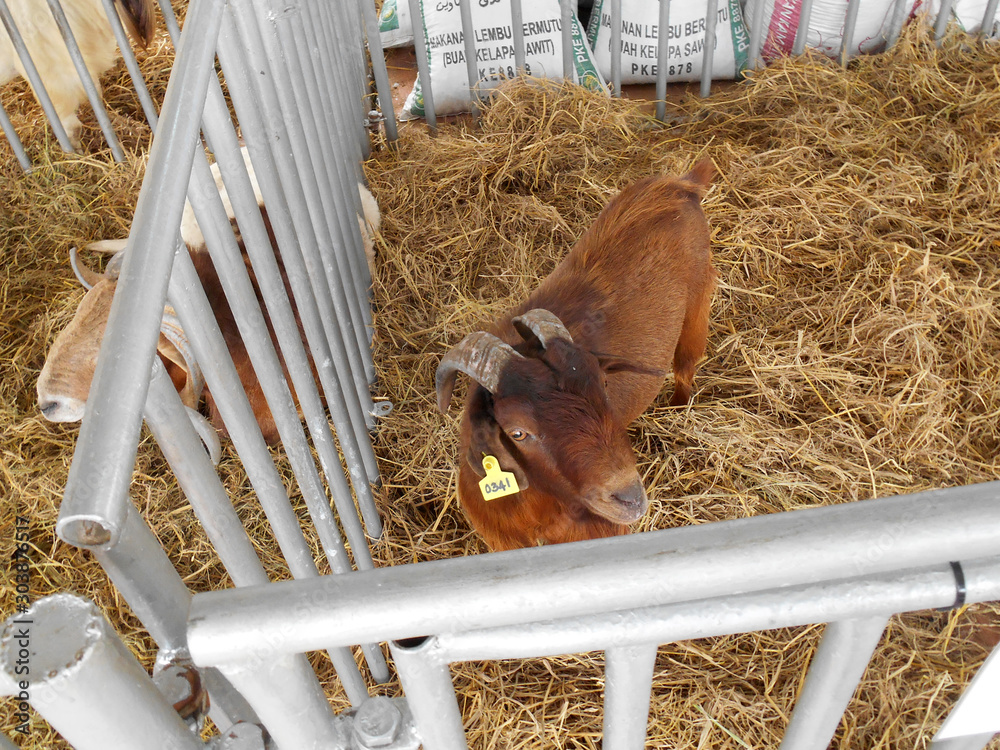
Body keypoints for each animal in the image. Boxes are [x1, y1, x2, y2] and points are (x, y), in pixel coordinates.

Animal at [436, 160, 716, 551]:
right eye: (518, 432)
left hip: (697, 304)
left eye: (603, 386)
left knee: (686, 368)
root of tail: (681, 183)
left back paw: (675, 409)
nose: (630, 498)